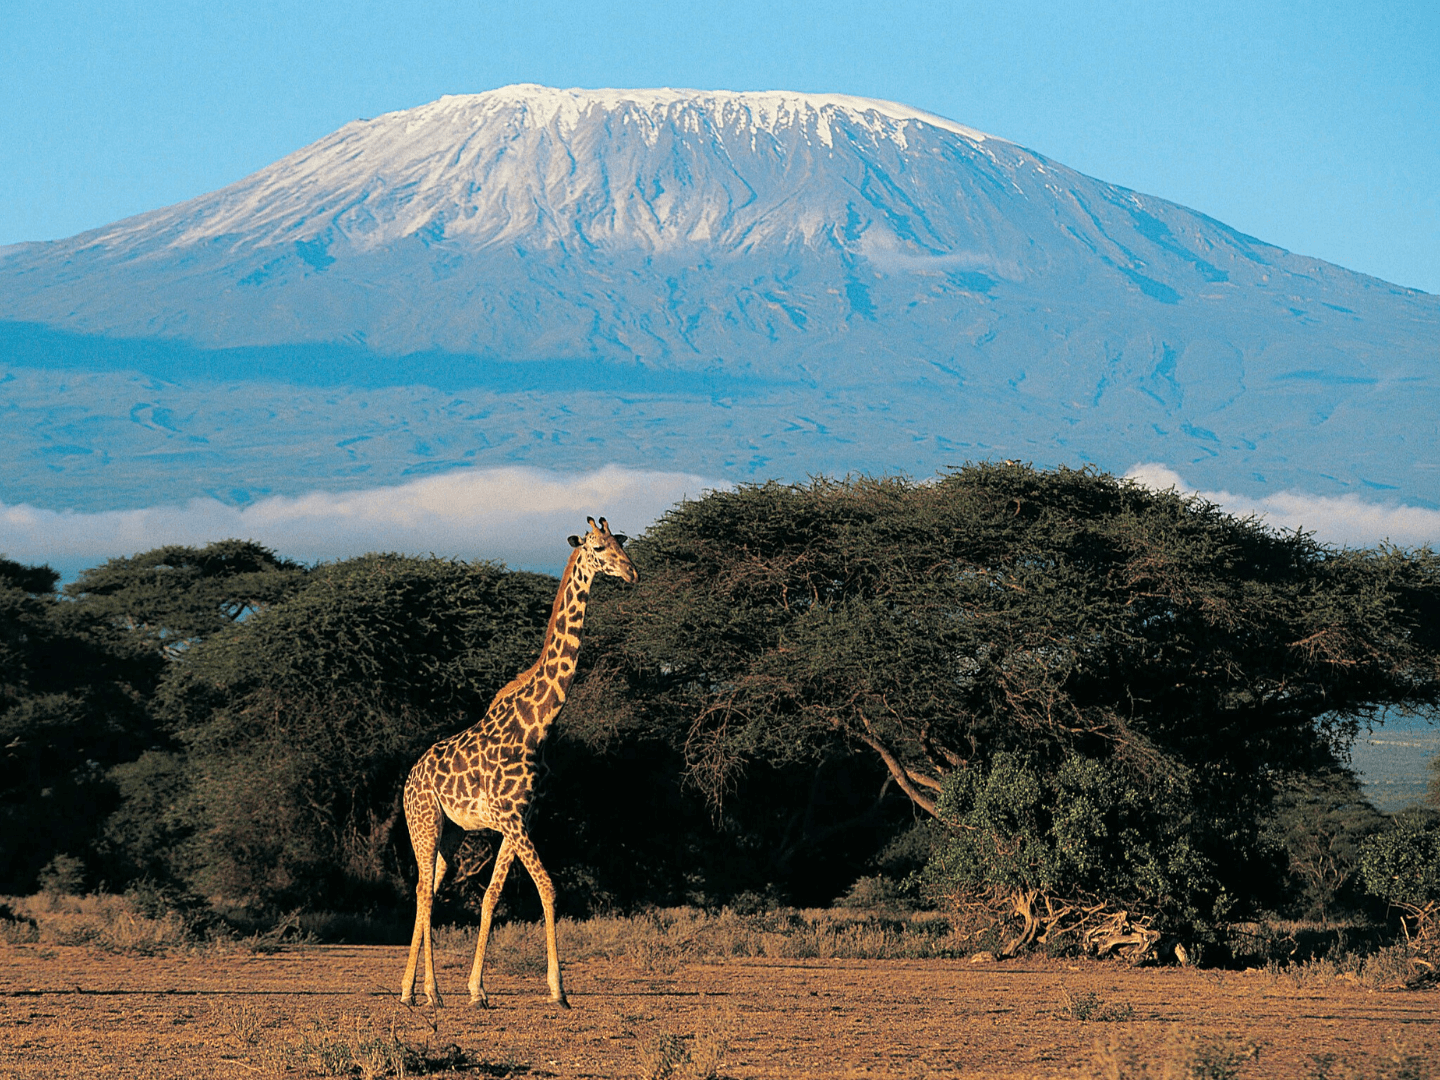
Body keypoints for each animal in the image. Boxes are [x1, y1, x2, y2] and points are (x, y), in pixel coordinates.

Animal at [399, 516, 637, 1008]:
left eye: (622, 544)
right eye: (598, 547)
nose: (631, 573)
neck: (538, 723)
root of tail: (409, 780)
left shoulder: (522, 818)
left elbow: (492, 895)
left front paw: (477, 990)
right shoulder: (510, 818)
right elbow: (548, 886)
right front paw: (558, 991)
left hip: (451, 833)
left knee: (428, 888)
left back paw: (409, 990)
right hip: (423, 821)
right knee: (424, 890)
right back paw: (430, 991)